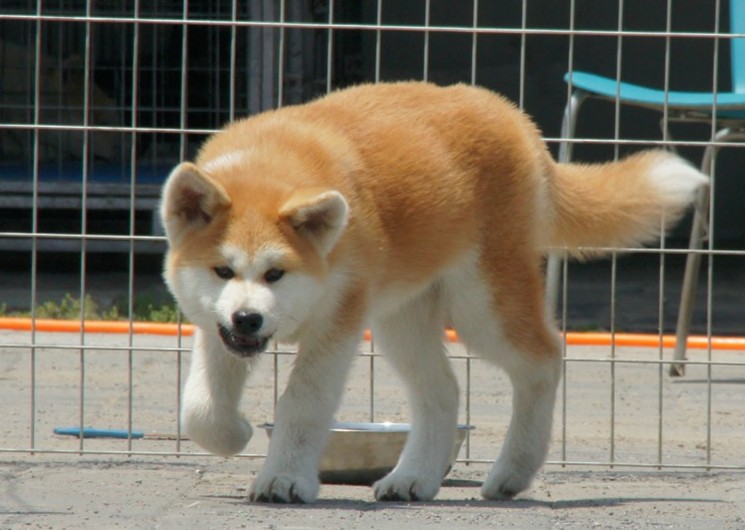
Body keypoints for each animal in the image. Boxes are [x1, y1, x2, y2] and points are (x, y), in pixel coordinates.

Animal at [160, 80, 708, 502]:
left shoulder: (337, 326)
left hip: (481, 306)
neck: (268, 165)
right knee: (443, 392)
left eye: (276, 274)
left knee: (544, 359)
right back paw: (413, 478)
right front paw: (236, 432)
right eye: (222, 271)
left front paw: (283, 479)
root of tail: (516, 121)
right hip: (401, 320)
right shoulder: (216, 328)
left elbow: (302, 403)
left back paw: (513, 470)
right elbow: (200, 409)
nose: (248, 319)